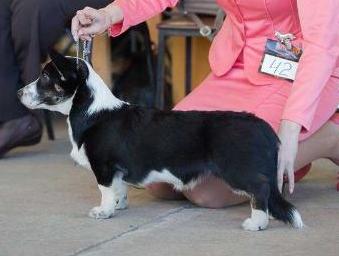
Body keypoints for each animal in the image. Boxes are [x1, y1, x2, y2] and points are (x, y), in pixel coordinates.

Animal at [17, 51, 304, 231]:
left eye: (45, 77)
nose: (19, 92)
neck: (91, 110)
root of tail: (264, 127)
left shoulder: (104, 167)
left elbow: (105, 191)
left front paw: (104, 211)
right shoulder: (117, 171)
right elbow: (119, 189)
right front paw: (120, 205)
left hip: (238, 170)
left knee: (261, 190)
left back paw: (256, 223)